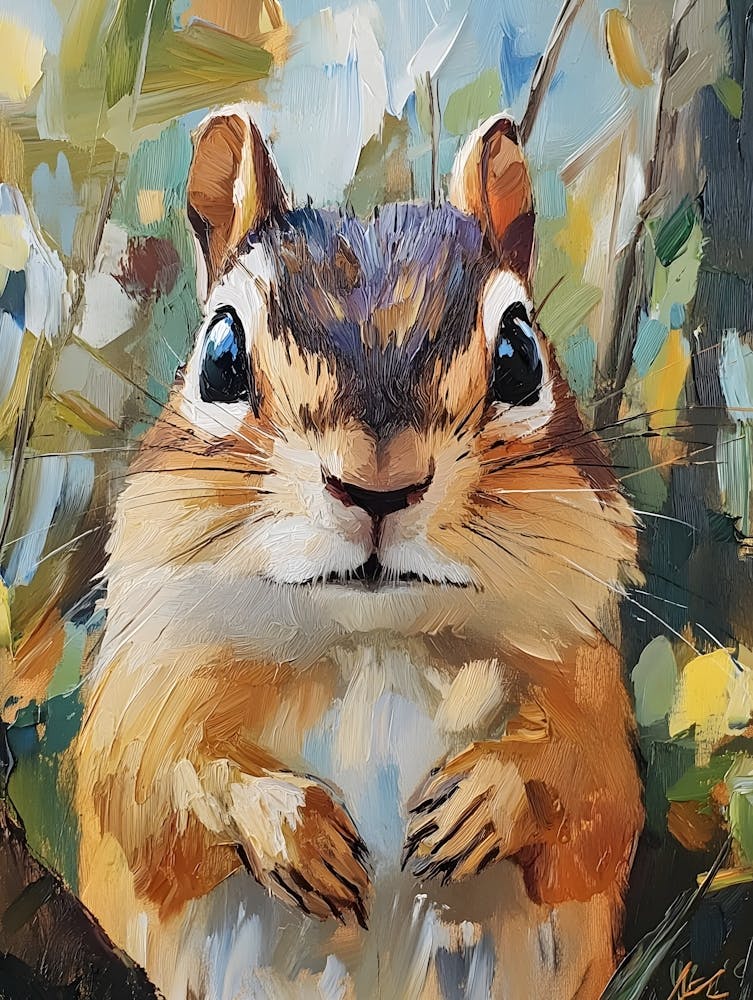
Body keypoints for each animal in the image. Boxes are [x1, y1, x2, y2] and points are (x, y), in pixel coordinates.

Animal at [74, 107, 644, 1000]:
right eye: (220, 358)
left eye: (518, 353)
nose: (378, 485)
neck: (371, 640)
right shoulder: (148, 680)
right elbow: (145, 786)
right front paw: (290, 828)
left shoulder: (587, 681)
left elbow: (595, 794)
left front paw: (486, 798)